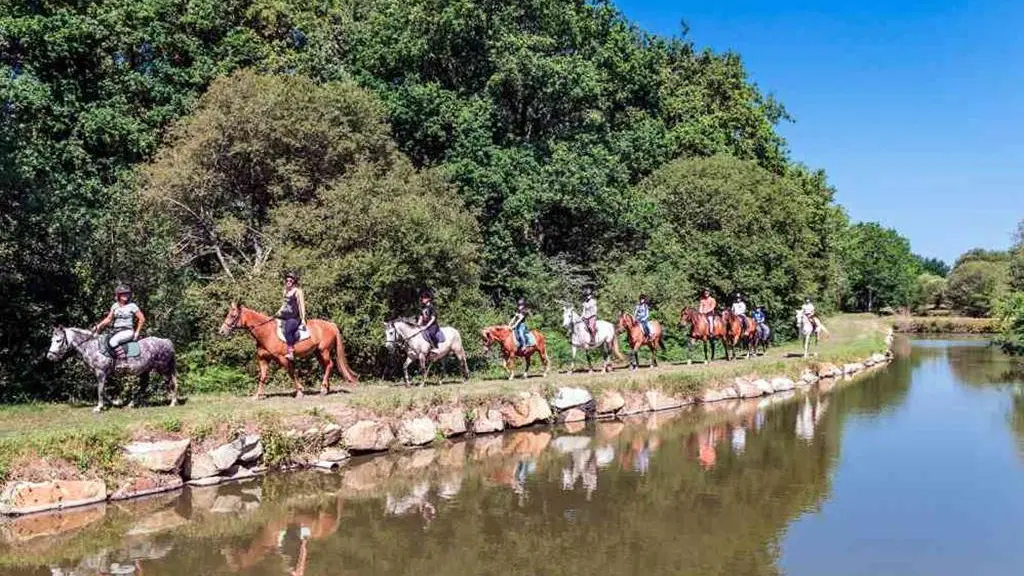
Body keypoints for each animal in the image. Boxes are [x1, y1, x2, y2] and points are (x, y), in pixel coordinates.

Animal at [46, 325, 179, 409]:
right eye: (52, 340)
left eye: (58, 340)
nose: (49, 356)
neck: (93, 347)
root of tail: (166, 341)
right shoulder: (101, 373)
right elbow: (103, 391)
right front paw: (115, 403)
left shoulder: (101, 372)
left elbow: (100, 390)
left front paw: (99, 407)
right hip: (145, 370)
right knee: (143, 386)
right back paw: (132, 404)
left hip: (163, 369)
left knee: (171, 383)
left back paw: (173, 403)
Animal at [218, 301, 358, 399]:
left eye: (233, 315)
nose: (221, 332)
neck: (266, 332)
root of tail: (331, 325)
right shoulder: (263, 359)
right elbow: (263, 377)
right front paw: (257, 396)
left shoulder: (282, 359)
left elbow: (291, 373)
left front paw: (300, 392)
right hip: (318, 352)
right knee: (326, 367)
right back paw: (326, 389)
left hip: (324, 351)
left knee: (330, 365)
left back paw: (323, 389)